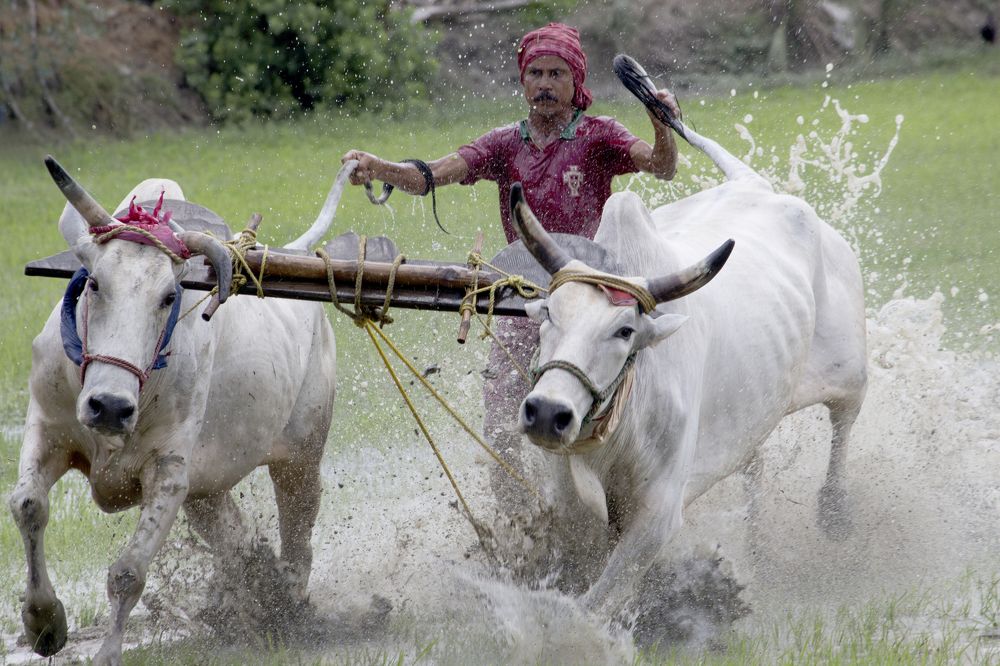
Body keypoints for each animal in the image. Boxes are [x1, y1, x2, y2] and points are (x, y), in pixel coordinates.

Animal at [9, 159, 338, 665]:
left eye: (169, 296)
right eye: (95, 283)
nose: (109, 407)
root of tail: (298, 253)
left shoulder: (168, 473)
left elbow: (128, 573)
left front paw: (106, 653)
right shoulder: (46, 429)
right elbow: (28, 505)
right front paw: (44, 622)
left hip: (300, 458)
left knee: (298, 536)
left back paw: (289, 610)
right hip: (207, 490)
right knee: (238, 540)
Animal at [506, 119, 868, 620]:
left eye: (624, 330)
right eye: (549, 314)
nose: (545, 412)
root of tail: (756, 186)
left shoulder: (657, 515)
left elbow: (594, 603)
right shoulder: (567, 501)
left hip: (850, 370)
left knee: (844, 420)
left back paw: (833, 512)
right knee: (755, 465)